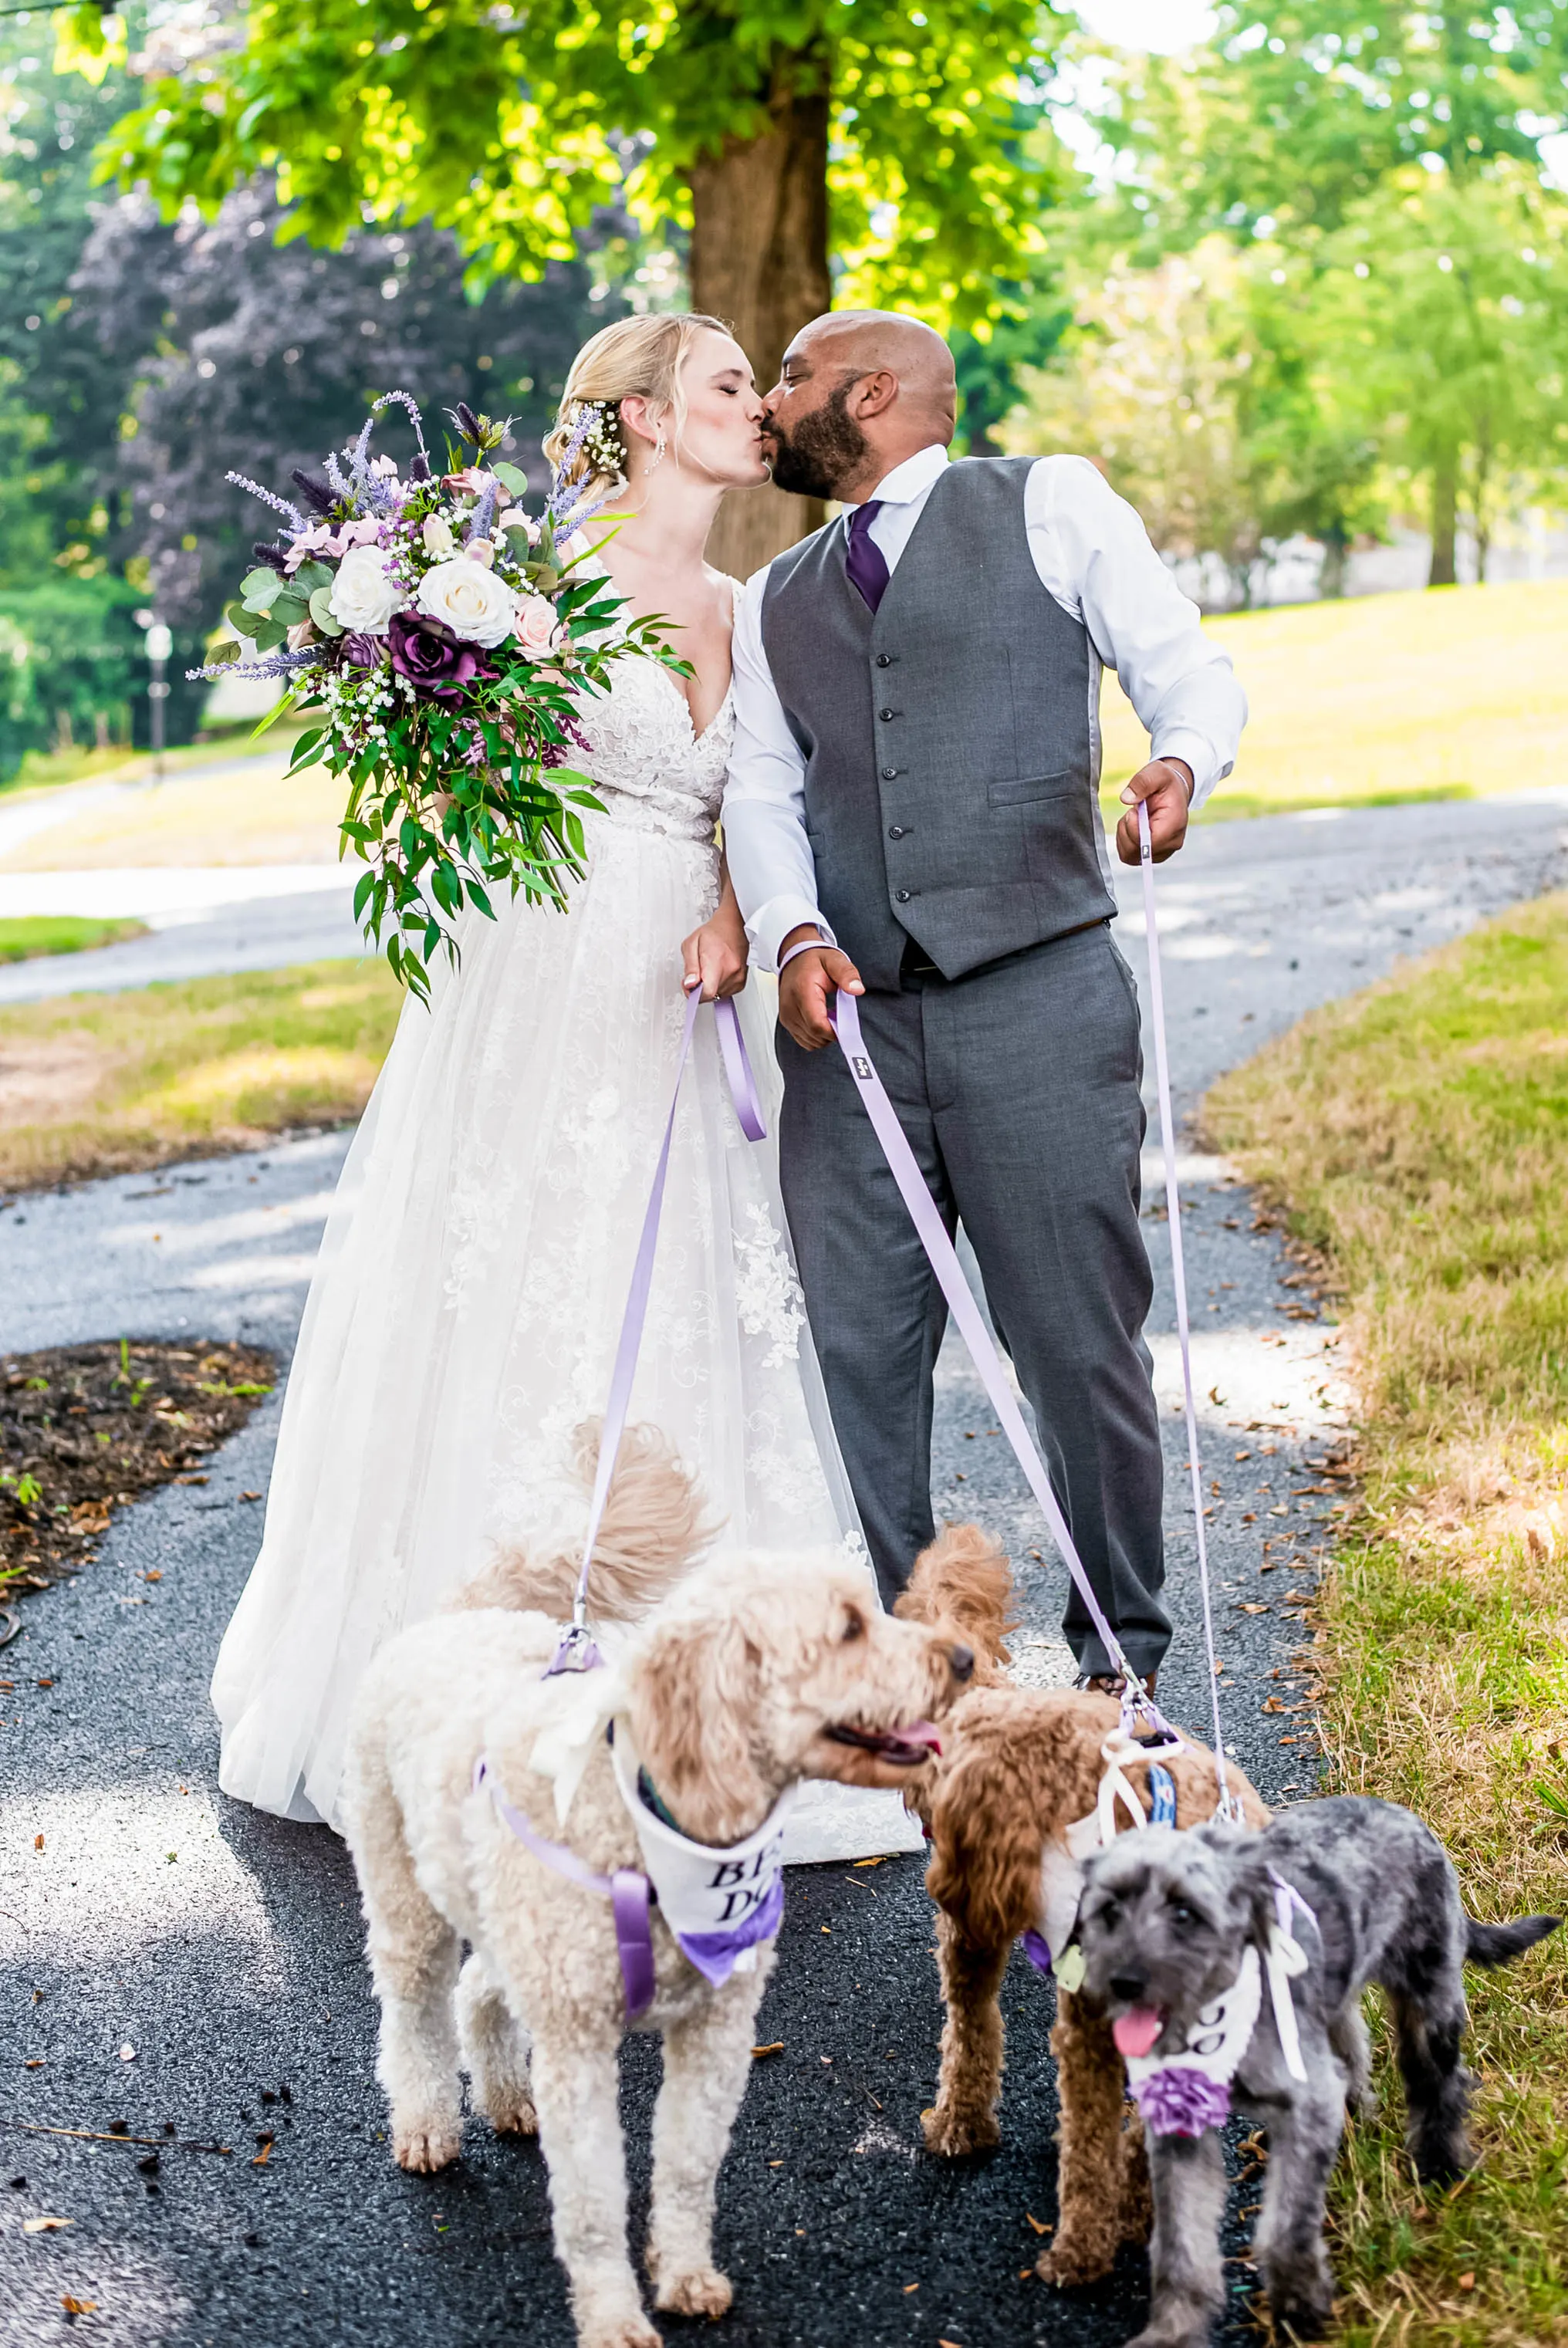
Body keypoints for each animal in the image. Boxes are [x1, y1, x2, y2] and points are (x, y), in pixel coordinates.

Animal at [343, 1427, 967, 2348]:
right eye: (848, 1628)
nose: (961, 1657)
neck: (652, 1817)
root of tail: (463, 1614)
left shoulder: (713, 2033)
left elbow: (684, 2166)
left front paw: (685, 2275)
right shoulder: (579, 2050)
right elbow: (594, 2200)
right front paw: (613, 2316)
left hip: (510, 1919)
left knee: (480, 1990)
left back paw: (505, 2095)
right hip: (405, 1896)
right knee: (415, 2017)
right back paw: (425, 2124)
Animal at [1080, 1793, 1558, 2348]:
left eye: (1184, 1912)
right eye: (1109, 1910)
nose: (1124, 1981)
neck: (1220, 2010)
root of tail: (1401, 1813)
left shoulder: (1308, 2101)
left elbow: (1285, 2225)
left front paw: (1299, 2306)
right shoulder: (1181, 2129)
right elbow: (1181, 2243)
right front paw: (1174, 2332)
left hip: (1428, 1998)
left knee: (1438, 2083)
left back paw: (1440, 2168)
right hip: (1337, 1999)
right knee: (1352, 2046)